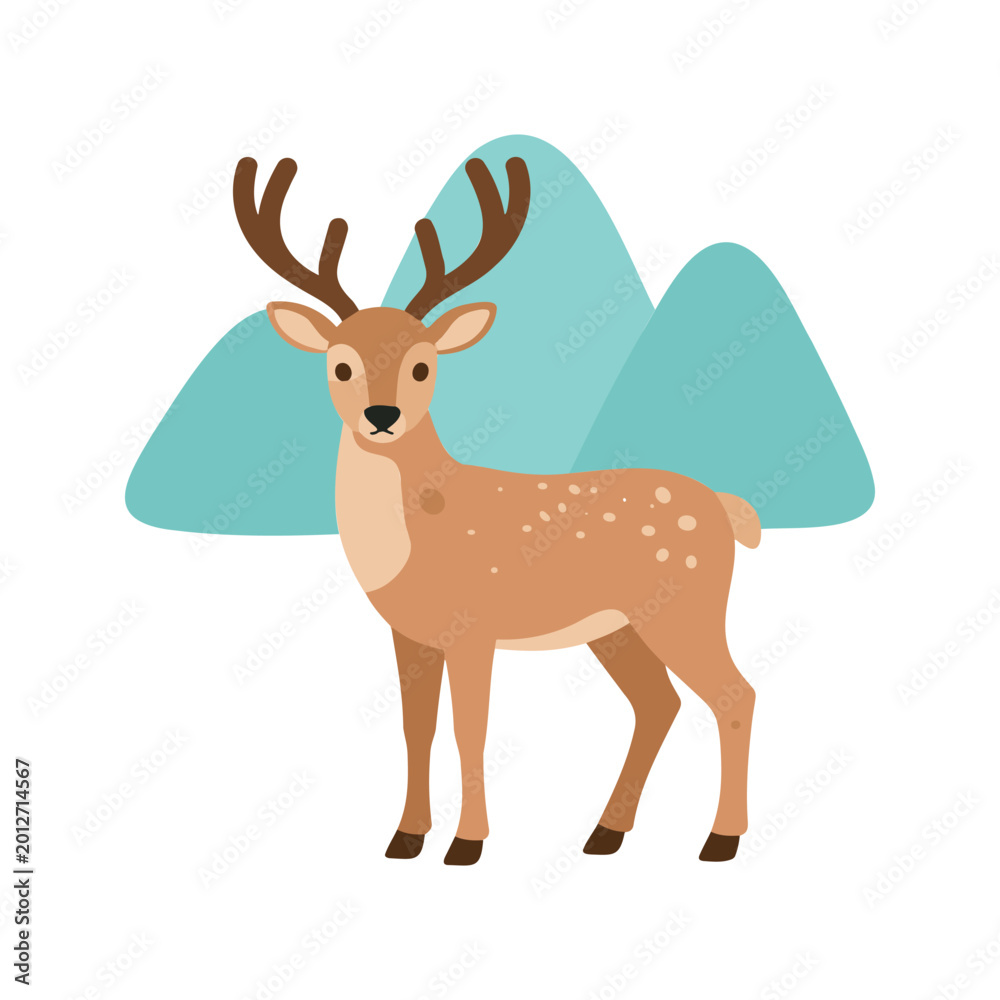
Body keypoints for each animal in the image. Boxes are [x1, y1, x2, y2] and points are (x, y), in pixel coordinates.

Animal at [232, 154, 761, 866]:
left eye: (423, 366)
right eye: (339, 366)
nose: (381, 416)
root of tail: (727, 509)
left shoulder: (473, 626)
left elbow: (470, 728)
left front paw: (467, 843)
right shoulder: (410, 633)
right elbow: (417, 728)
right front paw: (405, 837)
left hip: (687, 603)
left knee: (735, 694)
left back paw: (720, 840)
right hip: (617, 626)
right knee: (659, 704)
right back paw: (606, 834)